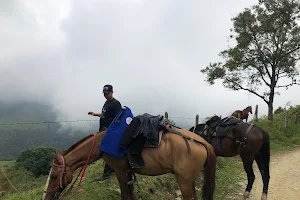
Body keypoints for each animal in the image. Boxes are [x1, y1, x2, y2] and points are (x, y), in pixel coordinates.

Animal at [41, 127, 216, 200]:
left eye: (55, 176)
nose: (47, 197)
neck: (103, 143)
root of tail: (203, 142)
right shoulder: (128, 172)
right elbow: (131, 194)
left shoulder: (119, 171)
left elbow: (125, 195)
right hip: (188, 180)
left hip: (184, 181)